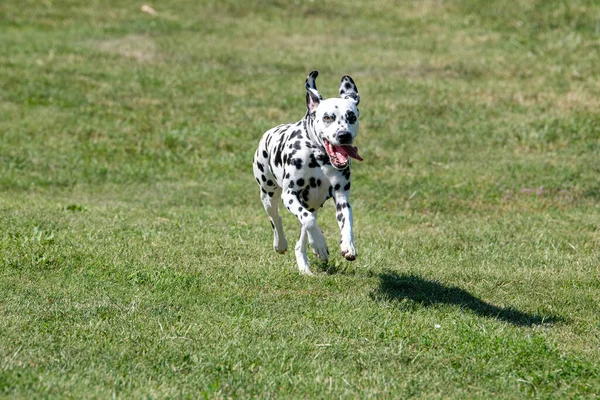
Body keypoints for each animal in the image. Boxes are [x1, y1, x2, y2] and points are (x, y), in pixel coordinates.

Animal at [252, 70, 364, 276]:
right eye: (327, 118)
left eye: (351, 117)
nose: (344, 135)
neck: (319, 158)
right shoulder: (290, 196)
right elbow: (309, 221)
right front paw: (319, 243)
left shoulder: (342, 198)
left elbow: (347, 223)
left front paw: (347, 245)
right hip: (268, 195)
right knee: (276, 218)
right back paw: (282, 244)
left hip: (311, 203)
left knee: (301, 239)